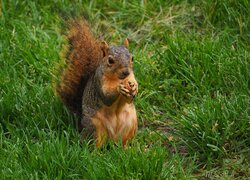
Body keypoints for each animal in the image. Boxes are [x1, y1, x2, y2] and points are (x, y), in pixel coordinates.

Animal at [56, 20, 138, 148]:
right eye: (110, 60)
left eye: (132, 58)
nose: (126, 72)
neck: (119, 79)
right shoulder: (99, 83)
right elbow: (106, 97)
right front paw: (119, 88)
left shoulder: (131, 77)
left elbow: (130, 99)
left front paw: (134, 89)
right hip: (94, 127)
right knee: (93, 144)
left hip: (130, 124)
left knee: (123, 142)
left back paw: (127, 149)